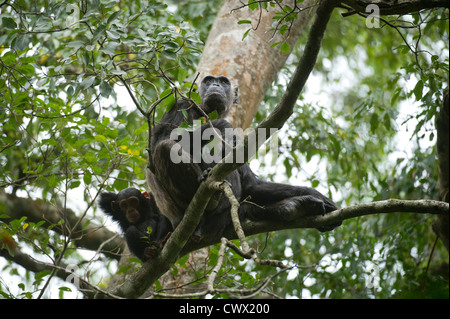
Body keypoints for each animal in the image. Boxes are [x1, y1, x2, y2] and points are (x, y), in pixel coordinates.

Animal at [148, 75, 342, 240]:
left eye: (223, 82)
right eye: (208, 80)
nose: (215, 84)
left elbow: (250, 183)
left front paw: (316, 195)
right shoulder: (179, 106)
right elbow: (161, 140)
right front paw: (218, 124)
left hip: (223, 218)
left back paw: (295, 206)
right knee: (165, 149)